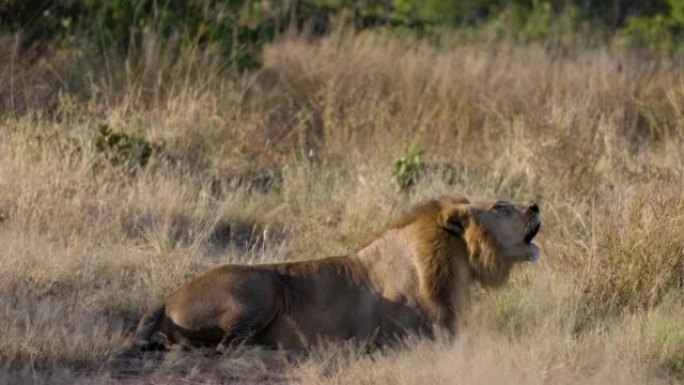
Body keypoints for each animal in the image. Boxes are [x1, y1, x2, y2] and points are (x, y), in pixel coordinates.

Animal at [134, 195, 540, 352]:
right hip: (265, 286)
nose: (536, 205)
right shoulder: (415, 337)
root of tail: (167, 298)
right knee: (225, 346)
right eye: (500, 206)